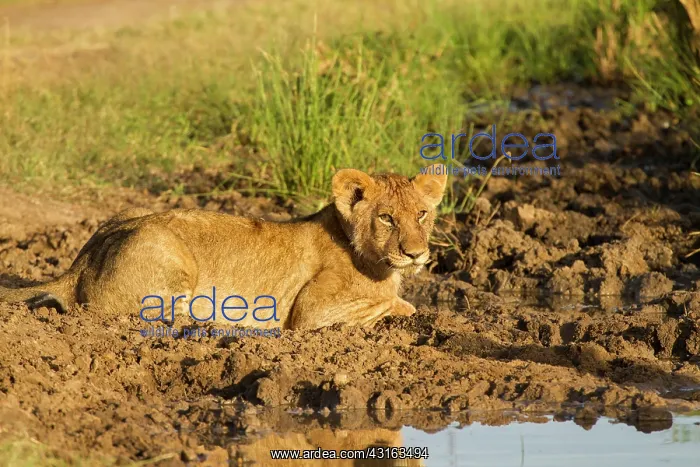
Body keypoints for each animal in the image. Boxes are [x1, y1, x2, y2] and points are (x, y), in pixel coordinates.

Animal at [0, 165, 447, 330]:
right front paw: (408, 308)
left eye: (422, 214)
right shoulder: (310, 313)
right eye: (386, 218)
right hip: (169, 256)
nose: (416, 253)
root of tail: (80, 260)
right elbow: (389, 304)